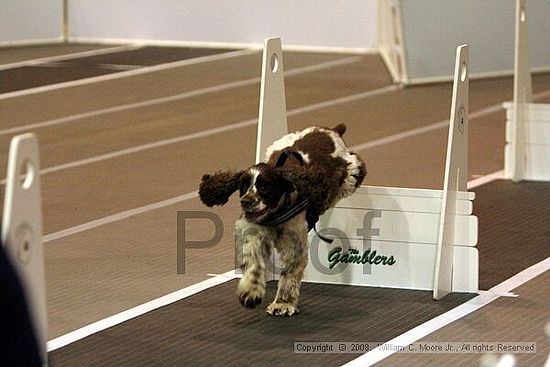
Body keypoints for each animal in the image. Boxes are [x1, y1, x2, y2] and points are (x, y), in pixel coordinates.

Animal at [198, 124, 366, 316]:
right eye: (243, 186)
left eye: (265, 187)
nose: (245, 201)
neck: (275, 214)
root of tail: (329, 129)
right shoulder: (253, 234)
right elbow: (253, 263)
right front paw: (250, 292)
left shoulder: (295, 244)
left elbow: (290, 274)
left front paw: (283, 304)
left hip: (351, 171)